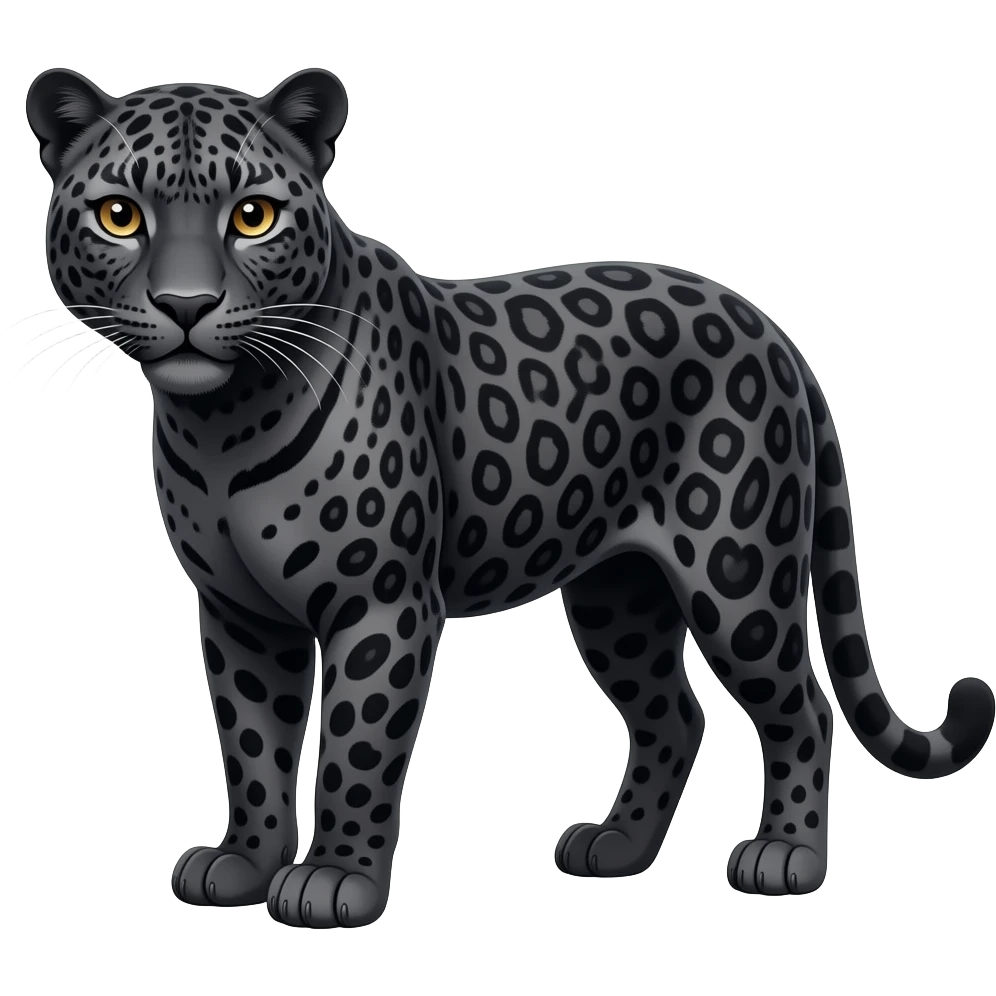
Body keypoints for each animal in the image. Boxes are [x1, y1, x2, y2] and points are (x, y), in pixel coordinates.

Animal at [24, 66, 995, 927]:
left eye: (252, 216)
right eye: (121, 215)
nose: (186, 304)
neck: (221, 419)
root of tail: (772, 329)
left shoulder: (382, 603)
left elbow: (355, 748)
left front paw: (334, 882)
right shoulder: (240, 613)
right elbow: (252, 746)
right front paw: (243, 863)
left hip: (737, 577)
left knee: (803, 707)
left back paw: (785, 857)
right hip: (618, 596)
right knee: (674, 716)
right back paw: (615, 848)